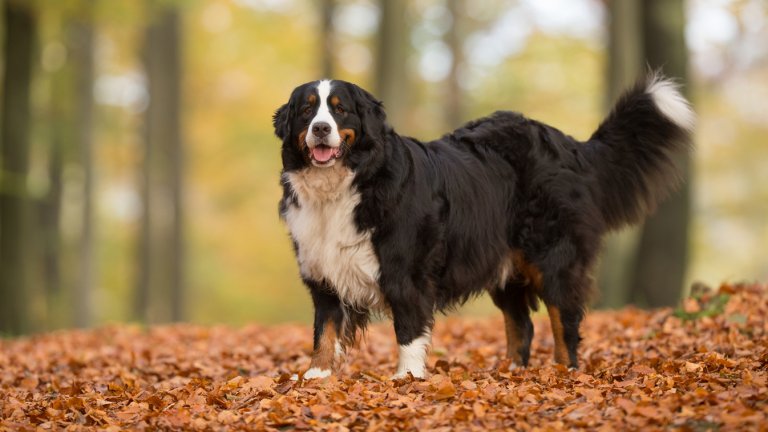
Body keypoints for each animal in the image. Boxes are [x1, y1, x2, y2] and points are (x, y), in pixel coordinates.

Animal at [272, 72, 692, 380]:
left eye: (340, 111)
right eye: (307, 111)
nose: (320, 129)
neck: (345, 185)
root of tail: (568, 144)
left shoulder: (405, 273)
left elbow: (408, 331)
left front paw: (406, 378)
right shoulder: (323, 270)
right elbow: (324, 330)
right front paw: (317, 376)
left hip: (553, 257)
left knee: (564, 320)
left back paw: (563, 372)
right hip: (505, 266)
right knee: (522, 325)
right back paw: (510, 371)